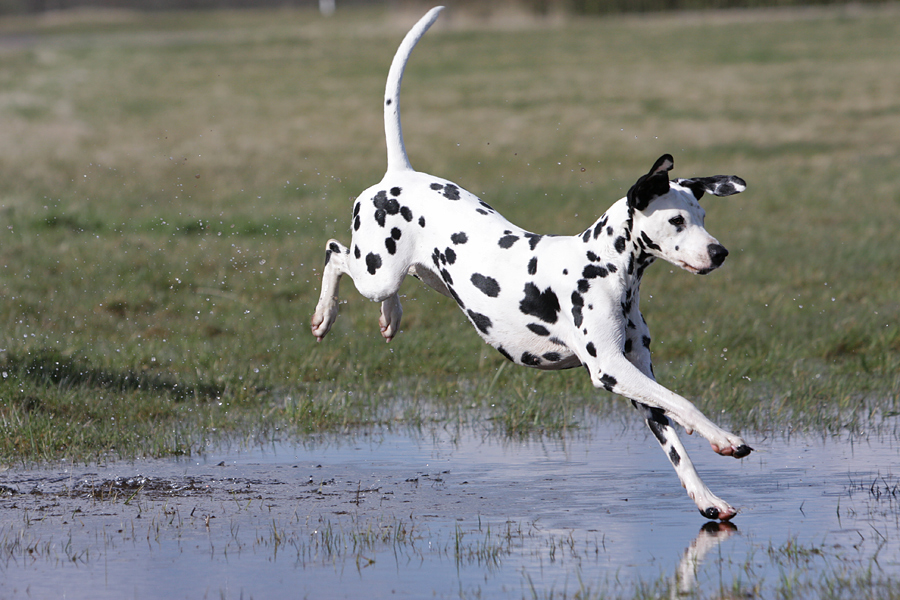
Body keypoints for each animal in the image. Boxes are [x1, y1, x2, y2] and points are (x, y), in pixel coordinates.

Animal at [314, 5, 752, 520]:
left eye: (702, 216)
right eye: (677, 220)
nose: (720, 252)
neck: (606, 269)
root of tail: (398, 175)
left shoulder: (638, 374)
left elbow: (677, 446)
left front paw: (708, 499)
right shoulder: (611, 371)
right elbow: (686, 404)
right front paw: (726, 439)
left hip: (425, 275)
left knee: (388, 285)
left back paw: (391, 317)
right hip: (374, 271)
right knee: (334, 253)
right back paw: (325, 314)